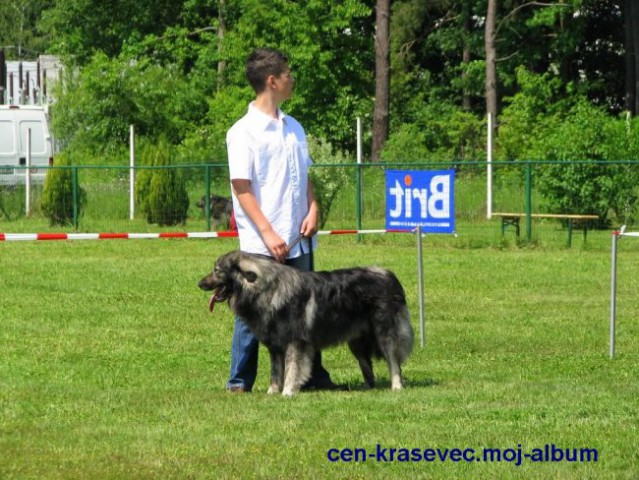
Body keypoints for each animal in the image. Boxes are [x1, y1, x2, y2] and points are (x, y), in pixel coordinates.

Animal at [199, 249, 416, 396]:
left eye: (217, 271)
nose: (199, 284)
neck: (265, 290)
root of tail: (390, 276)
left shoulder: (295, 343)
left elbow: (292, 369)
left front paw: (287, 392)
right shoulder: (275, 347)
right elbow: (276, 372)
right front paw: (272, 392)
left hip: (385, 335)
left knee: (394, 362)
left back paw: (396, 386)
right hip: (356, 342)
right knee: (367, 365)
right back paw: (367, 388)